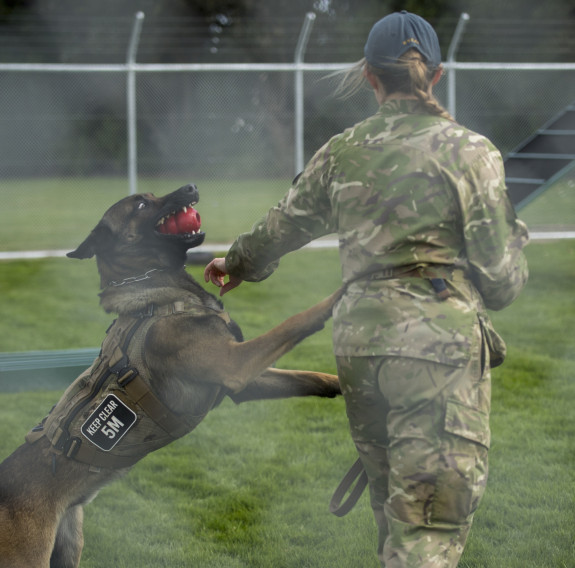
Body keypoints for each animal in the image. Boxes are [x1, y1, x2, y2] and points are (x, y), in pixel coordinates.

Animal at [0, 184, 342, 564]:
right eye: (140, 204)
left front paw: (344, 385)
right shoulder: (235, 364)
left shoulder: (239, 379)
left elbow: (307, 376)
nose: (190, 187)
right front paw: (339, 295)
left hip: (70, 546)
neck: (154, 291)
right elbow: (295, 321)